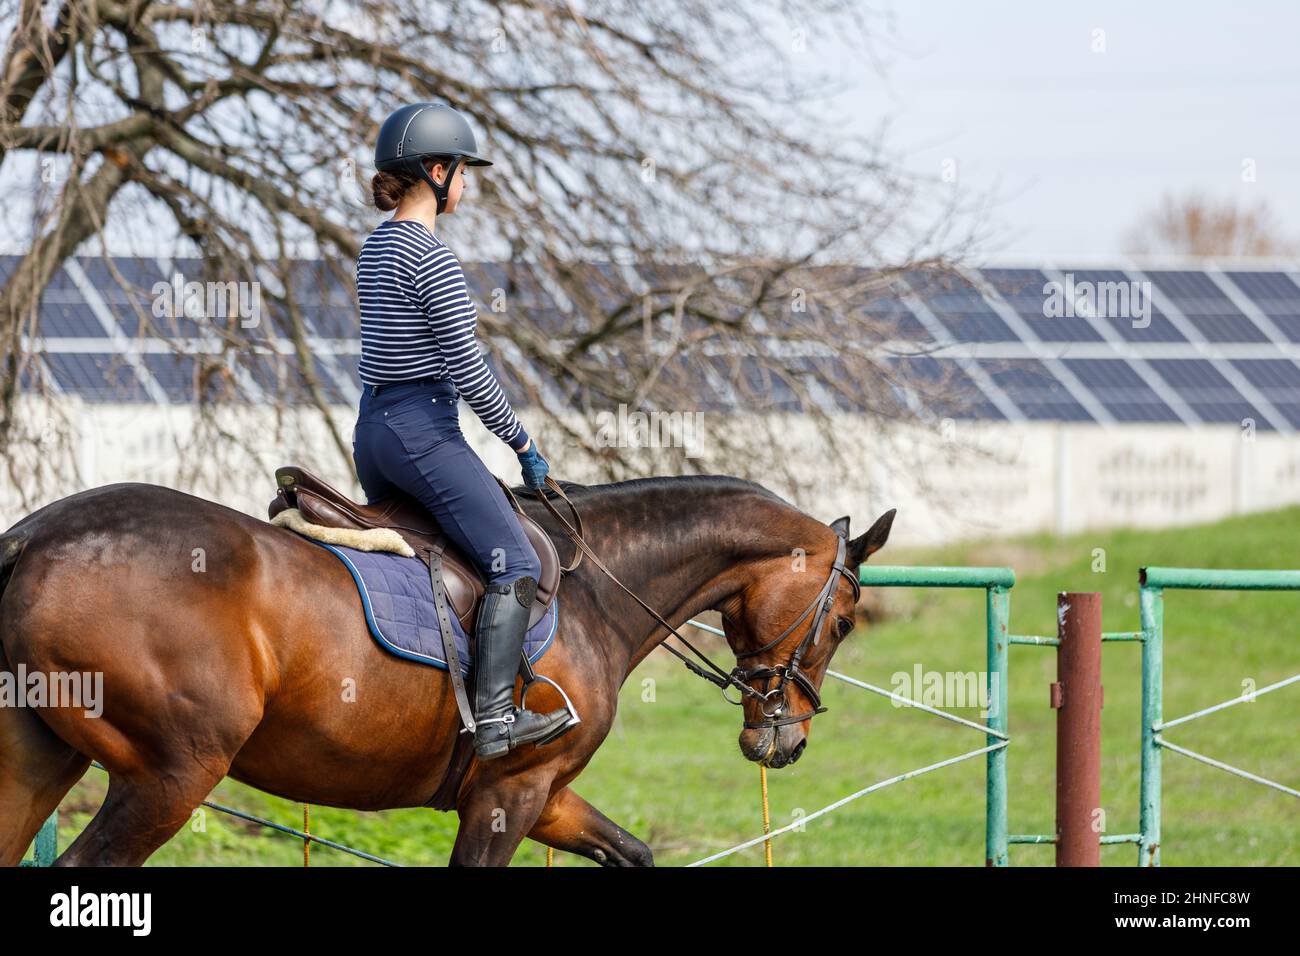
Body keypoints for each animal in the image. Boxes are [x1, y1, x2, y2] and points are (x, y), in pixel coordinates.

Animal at [0, 476, 894, 868]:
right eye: (845, 622)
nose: (784, 741)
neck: (597, 591)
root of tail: (36, 535)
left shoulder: (545, 796)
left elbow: (633, 853)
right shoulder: (508, 795)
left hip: (40, 760)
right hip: (170, 776)